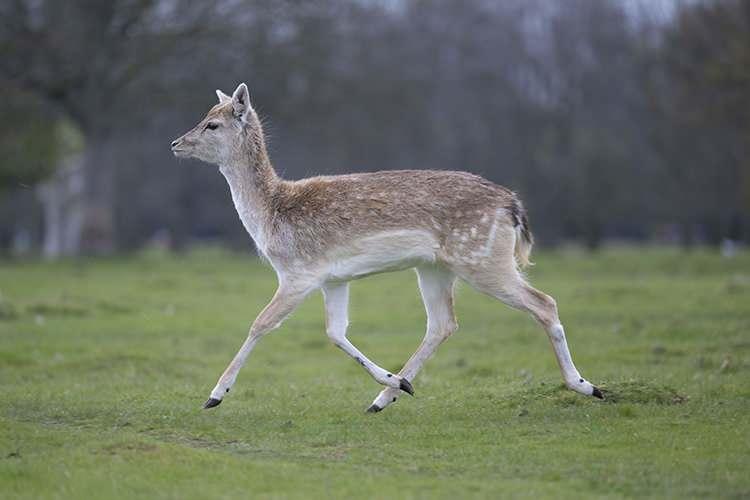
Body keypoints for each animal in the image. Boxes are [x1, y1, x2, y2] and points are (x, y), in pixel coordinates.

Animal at [172, 81, 604, 410]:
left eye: (212, 124)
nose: (176, 143)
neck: (270, 215)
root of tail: (513, 205)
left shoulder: (299, 272)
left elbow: (261, 323)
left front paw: (215, 395)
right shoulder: (333, 279)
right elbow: (335, 332)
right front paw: (394, 382)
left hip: (483, 259)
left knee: (543, 302)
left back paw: (586, 386)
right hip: (434, 267)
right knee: (443, 323)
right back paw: (385, 397)